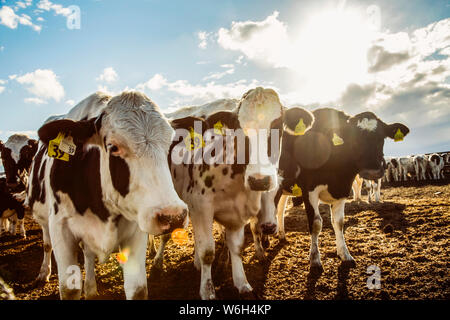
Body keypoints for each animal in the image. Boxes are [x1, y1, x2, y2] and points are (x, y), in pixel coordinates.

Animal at [28, 90, 187, 300]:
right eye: (113, 148)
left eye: (169, 144)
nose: (173, 216)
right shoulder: (61, 229)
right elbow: (69, 289)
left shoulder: (136, 232)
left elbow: (138, 289)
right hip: (44, 221)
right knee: (47, 244)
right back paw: (44, 273)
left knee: (87, 253)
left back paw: (91, 289)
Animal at [163, 87, 314, 298]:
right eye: (240, 128)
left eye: (278, 126)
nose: (259, 180)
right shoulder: (200, 205)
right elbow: (207, 251)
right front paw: (207, 291)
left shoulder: (238, 212)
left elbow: (237, 247)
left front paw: (242, 283)